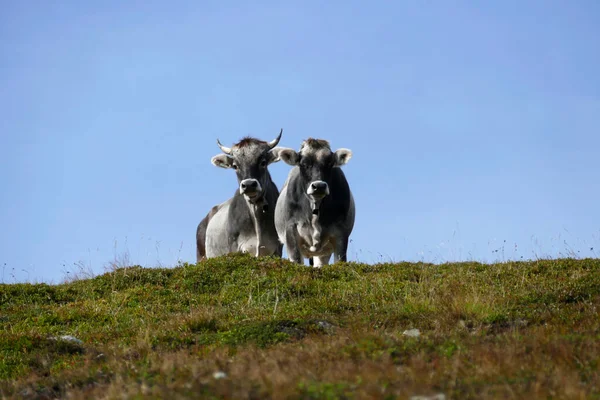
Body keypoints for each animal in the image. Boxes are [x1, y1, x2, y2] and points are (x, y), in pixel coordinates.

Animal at [195, 130, 284, 262]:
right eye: (235, 166)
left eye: (263, 162)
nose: (249, 185)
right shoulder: (235, 248)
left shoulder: (277, 249)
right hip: (201, 256)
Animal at [274, 139, 354, 268]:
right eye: (303, 164)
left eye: (329, 163)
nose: (319, 186)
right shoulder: (291, 230)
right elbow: (296, 260)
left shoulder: (341, 233)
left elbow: (340, 261)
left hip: (323, 251)